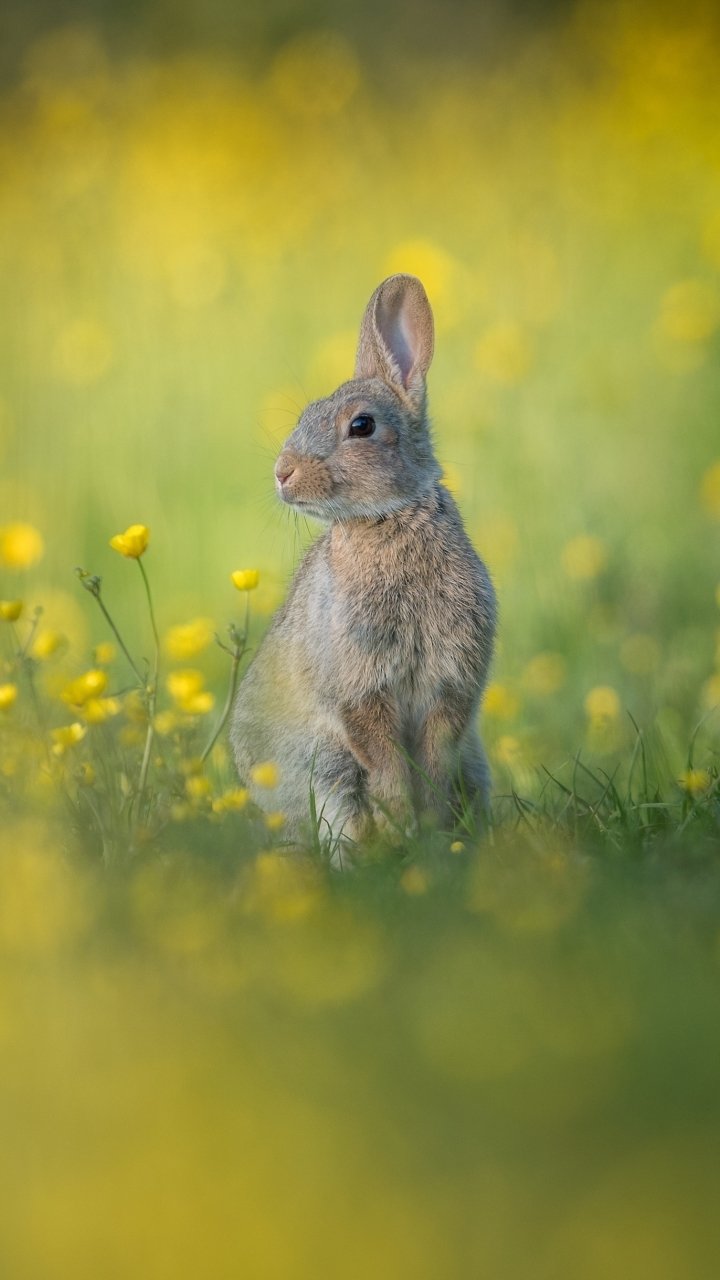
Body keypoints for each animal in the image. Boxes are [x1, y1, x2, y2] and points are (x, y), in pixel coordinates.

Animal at [232, 273, 496, 852]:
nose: (282, 473)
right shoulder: (360, 690)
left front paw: (430, 826)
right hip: (328, 767)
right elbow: (385, 763)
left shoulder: (450, 686)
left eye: (362, 426)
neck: (387, 518)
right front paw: (405, 825)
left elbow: (433, 758)